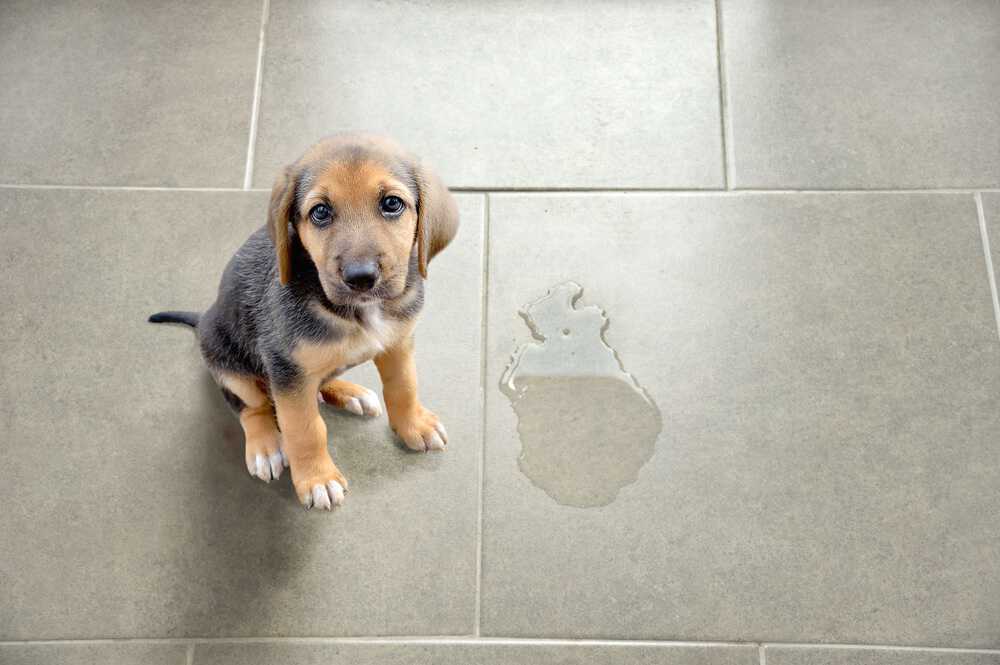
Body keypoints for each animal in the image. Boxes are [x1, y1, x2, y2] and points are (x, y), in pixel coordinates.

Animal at [150, 134, 458, 508]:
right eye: (320, 212)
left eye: (392, 204)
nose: (361, 278)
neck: (358, 312)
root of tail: (204, 317)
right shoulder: (286, 368)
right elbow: (305, 429)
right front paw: (317, 479)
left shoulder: (397, 343)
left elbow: (404, 386)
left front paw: (414, 424)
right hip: (228, 362)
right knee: (250, 406)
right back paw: (265, 446)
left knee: (318, 383)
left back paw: (350, 393)